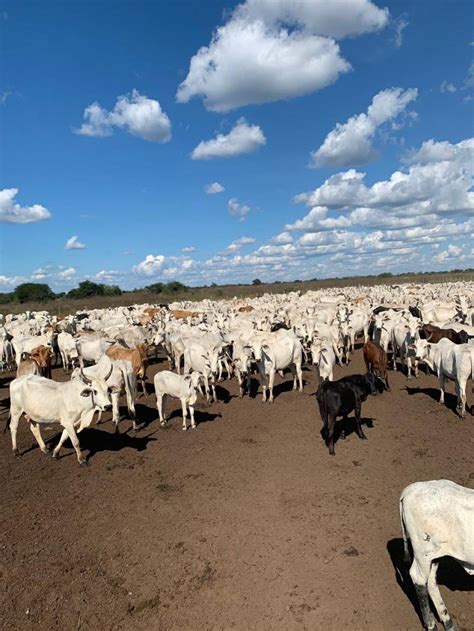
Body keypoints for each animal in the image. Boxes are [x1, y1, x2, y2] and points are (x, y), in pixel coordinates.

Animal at [400, 482, 474, 628]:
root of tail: (409, 490)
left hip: (435, 555)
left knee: (431, 582)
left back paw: (448, 623)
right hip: (423, 554)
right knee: (418, 579)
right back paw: (431, 624)